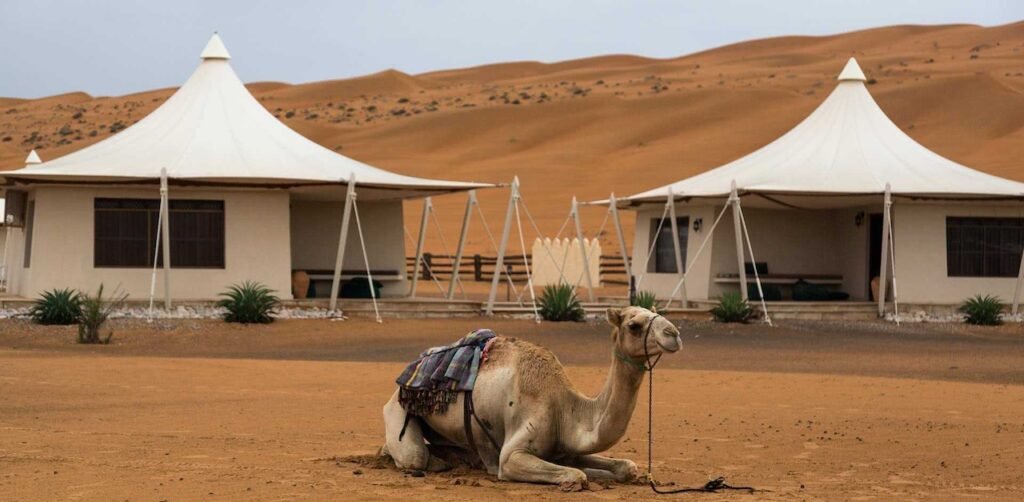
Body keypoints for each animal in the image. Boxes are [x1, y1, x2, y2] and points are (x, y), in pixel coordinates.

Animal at [382, 305, 679, 489]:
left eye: (656, 312)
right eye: (634, 325)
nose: (674, 333)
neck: (566, 410)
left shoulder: (567, 447)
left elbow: (626, 467)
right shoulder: (514, 452)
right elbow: (577, 474)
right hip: (397, 410)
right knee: (414, 455)